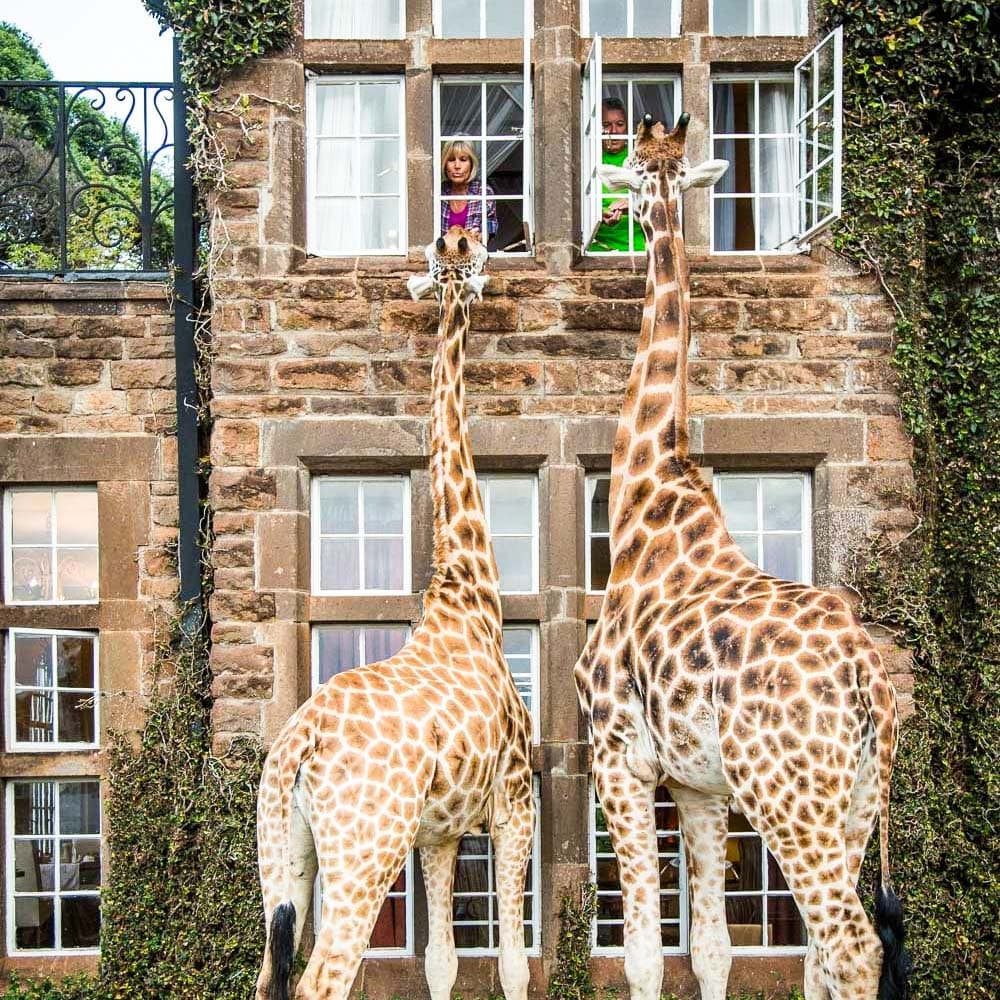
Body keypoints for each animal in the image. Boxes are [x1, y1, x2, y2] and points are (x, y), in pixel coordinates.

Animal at [255, 227, 535, 1000]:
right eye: (465, 256)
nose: (467, 240)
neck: (470, 594)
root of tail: (299, 743)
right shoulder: (515, 801)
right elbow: (512, 962)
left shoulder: (438, 831)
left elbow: (442, 961)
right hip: (366, 846)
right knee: (322, 978)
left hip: (283, 855)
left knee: (268, 969)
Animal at [574, 114, 910, 1000]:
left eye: (638, 173)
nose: (622, 215)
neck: (647, 495)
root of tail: (865, 676)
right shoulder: (697, 784)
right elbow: (711, 949)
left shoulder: (619, 755)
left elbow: (644, 952)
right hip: (855, 797)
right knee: (824, 956)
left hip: (786, 792)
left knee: (851, 947)